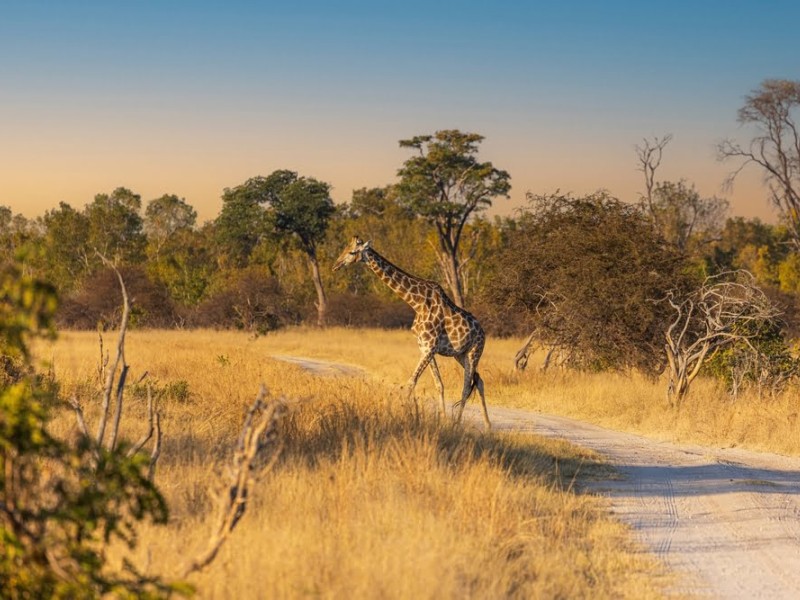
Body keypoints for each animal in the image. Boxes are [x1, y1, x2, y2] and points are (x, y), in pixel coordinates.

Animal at [332, 236, 490, 428]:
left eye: (352, 252)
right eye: (345, 248)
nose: (336, 265)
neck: (416, 302)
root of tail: (483, 332)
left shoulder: (430, 347)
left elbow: (411, 382)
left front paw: (397, 416)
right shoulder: (424, 347)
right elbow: (439, 384)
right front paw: (442, 419)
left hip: (475, 351)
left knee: (467, 386)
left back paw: (458, 423)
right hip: (460, 354)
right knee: (479, 380)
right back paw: (488, 426)